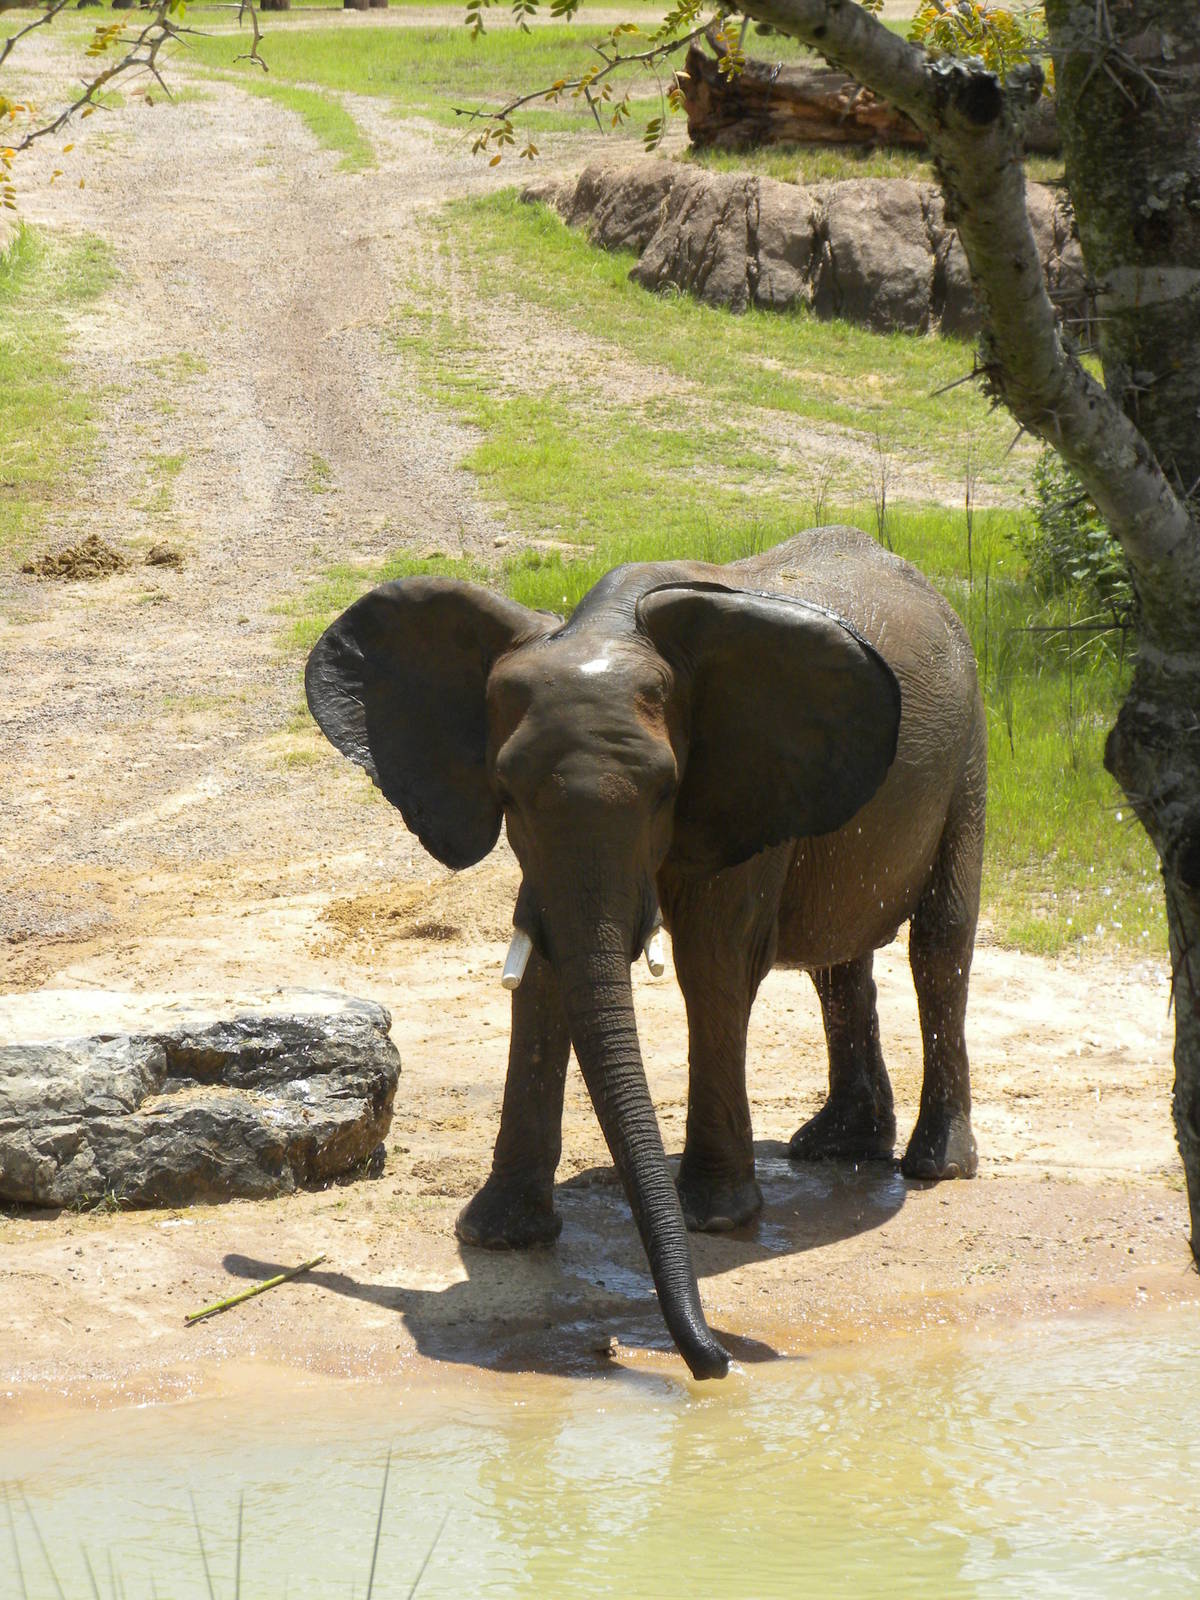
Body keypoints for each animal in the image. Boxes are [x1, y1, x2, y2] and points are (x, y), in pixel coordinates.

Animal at [305, 524, 986, 1381]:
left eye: (665, 790)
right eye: (505, 790)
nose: (715, 1364)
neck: (603, 627)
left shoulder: (744, 780)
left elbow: (715, 962)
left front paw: (713, 1219)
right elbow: (547, 975)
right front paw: (497, 1235)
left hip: (968, 751)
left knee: (940, 943)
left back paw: (934, 1167)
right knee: (839, 964)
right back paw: (836, 1148)